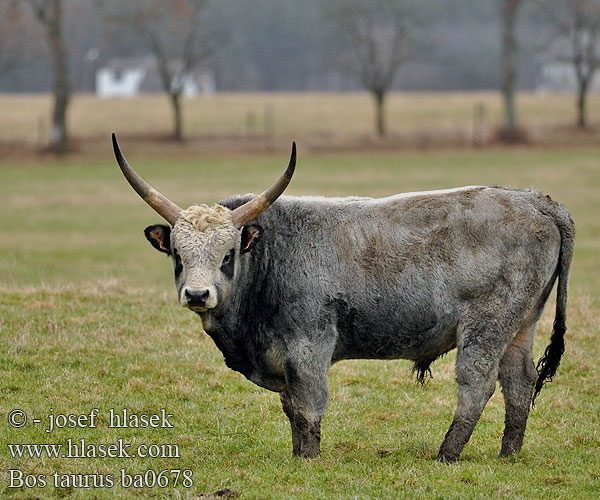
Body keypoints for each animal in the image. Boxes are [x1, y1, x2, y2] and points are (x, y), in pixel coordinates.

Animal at [112, 133, 576, 460]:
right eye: (177, 254)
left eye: (227, 255)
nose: (197, 293)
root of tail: (536, 201)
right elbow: (291, 409)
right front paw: (297, 454)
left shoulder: (309, 347)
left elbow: (307, 408)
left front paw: (308, 460)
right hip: (520, 325)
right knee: (519, 383)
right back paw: (508, 454)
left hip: (486, 327)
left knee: (477, 385)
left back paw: (446, 454)